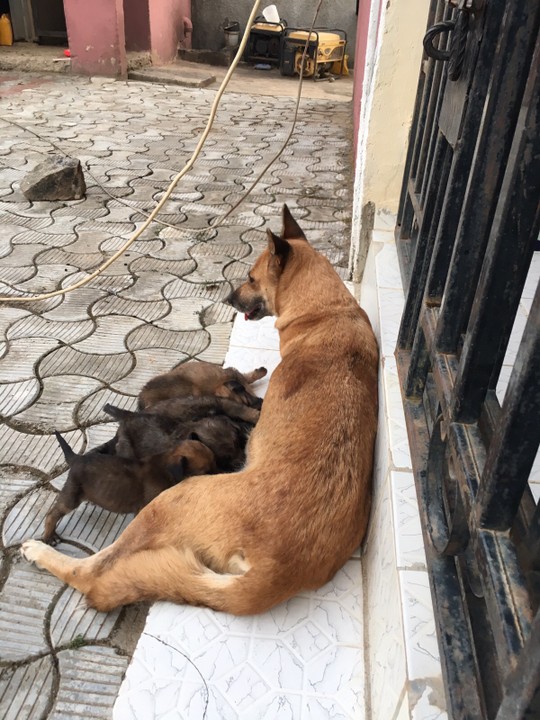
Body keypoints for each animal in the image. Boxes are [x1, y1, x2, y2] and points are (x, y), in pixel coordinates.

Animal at [42, 430, 215, 544]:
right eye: (205, 472)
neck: (165, 464)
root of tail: (76, 458)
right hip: (72, 496)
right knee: (52, 514)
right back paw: (50, 537)